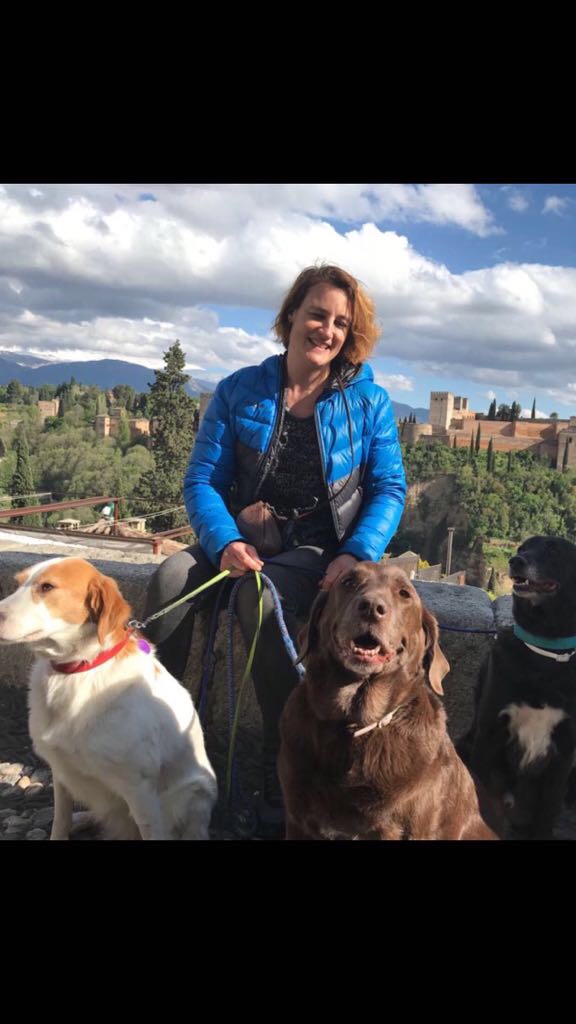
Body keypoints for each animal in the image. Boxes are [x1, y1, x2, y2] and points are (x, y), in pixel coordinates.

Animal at [0, 557, 217, 840]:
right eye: (16, 584)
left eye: (47, 587)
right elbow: (60, 820)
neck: (79, 668)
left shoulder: (139, 787)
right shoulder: (61, 770)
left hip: (194, 793)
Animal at [459, 535, 576, 840]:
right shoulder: (488, 733)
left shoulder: (564, 752)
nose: (516, 561)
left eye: (553, 549)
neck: (546, 653)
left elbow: (547, 813)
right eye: (523, 547)